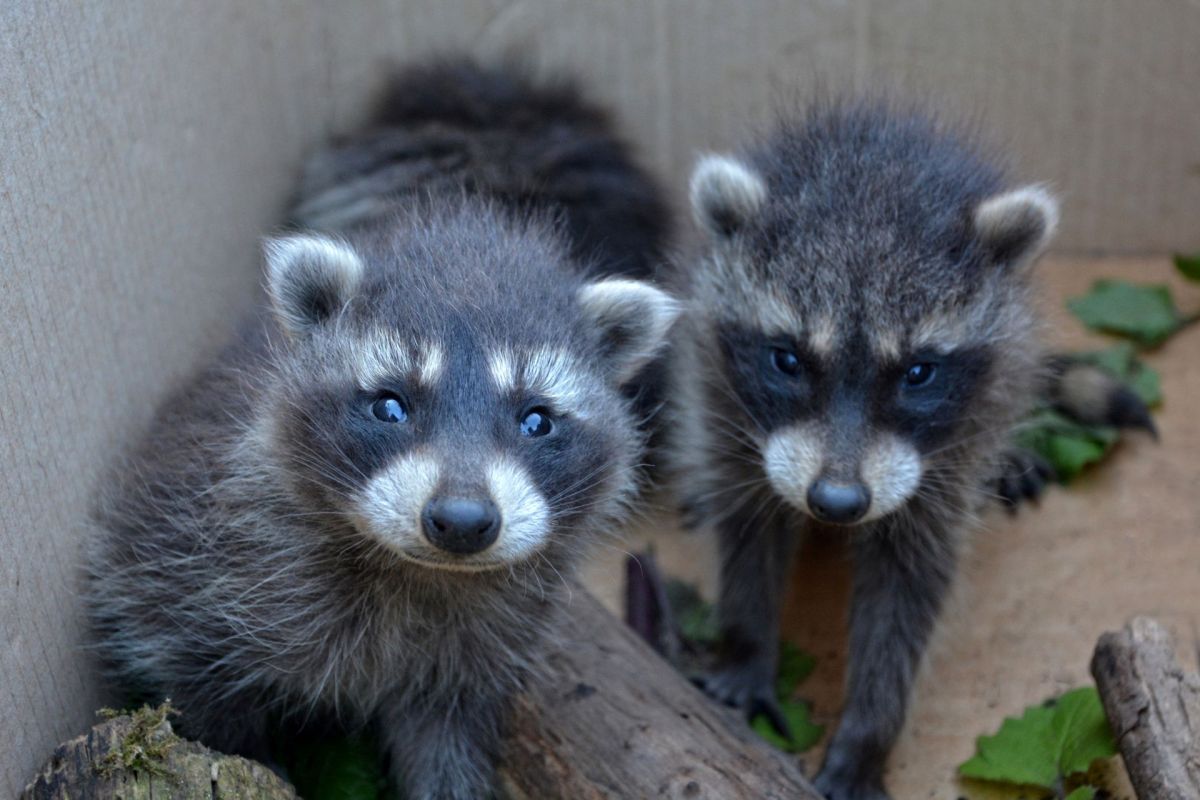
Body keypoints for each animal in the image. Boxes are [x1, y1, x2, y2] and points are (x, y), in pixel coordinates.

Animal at [88, 62, 677, 800]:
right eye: (390, 406)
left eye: (537, 419)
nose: (462, 522)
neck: (415, 571)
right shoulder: (188, 558)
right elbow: (201, 693)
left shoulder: (475, 653)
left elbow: (447, 741)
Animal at [672, 103, 1133, 800]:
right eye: (787, 360)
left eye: (918, 372)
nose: (837, 502)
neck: (874, 165)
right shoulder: (723, 398)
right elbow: (748, 530)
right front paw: (746, 646)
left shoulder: (954, 454)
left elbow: (907, 593)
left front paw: (867, 733)